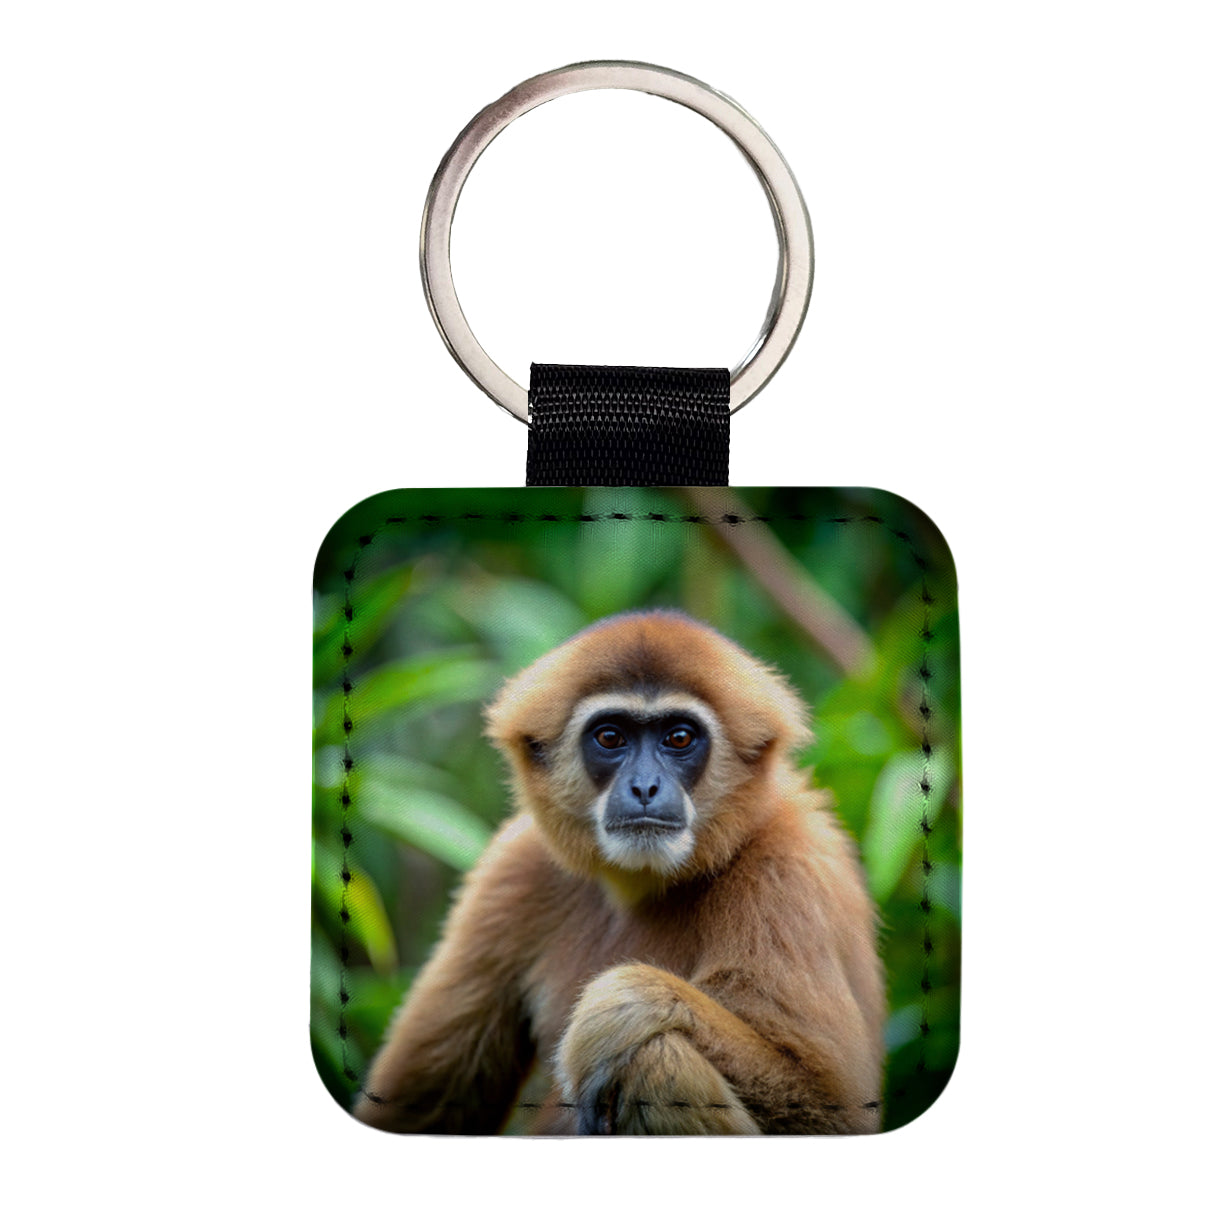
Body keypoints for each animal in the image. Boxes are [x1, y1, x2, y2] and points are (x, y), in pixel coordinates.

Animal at [354, 610, 885, 1135]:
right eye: (610, 737)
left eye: (679, 738)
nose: (645, 785)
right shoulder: (513, 867)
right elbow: (424, 1104)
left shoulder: (785, 869)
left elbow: (829, 1104)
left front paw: (620, 1008)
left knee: (655, 1057)